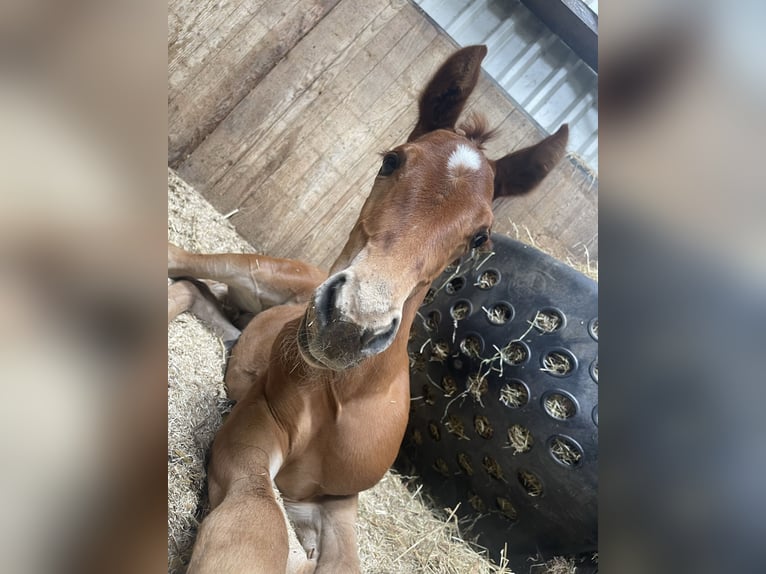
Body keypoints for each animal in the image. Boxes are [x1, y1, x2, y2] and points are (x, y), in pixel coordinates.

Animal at [172, 46, 568, 574]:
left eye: (480, 236)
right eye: (392, 160)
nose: (350, 323)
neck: (345, 395)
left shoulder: (336, 500)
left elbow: (336, 560)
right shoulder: (248, 436)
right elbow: (258, 522)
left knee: (198, 295)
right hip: (255, 271)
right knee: (181, 260)